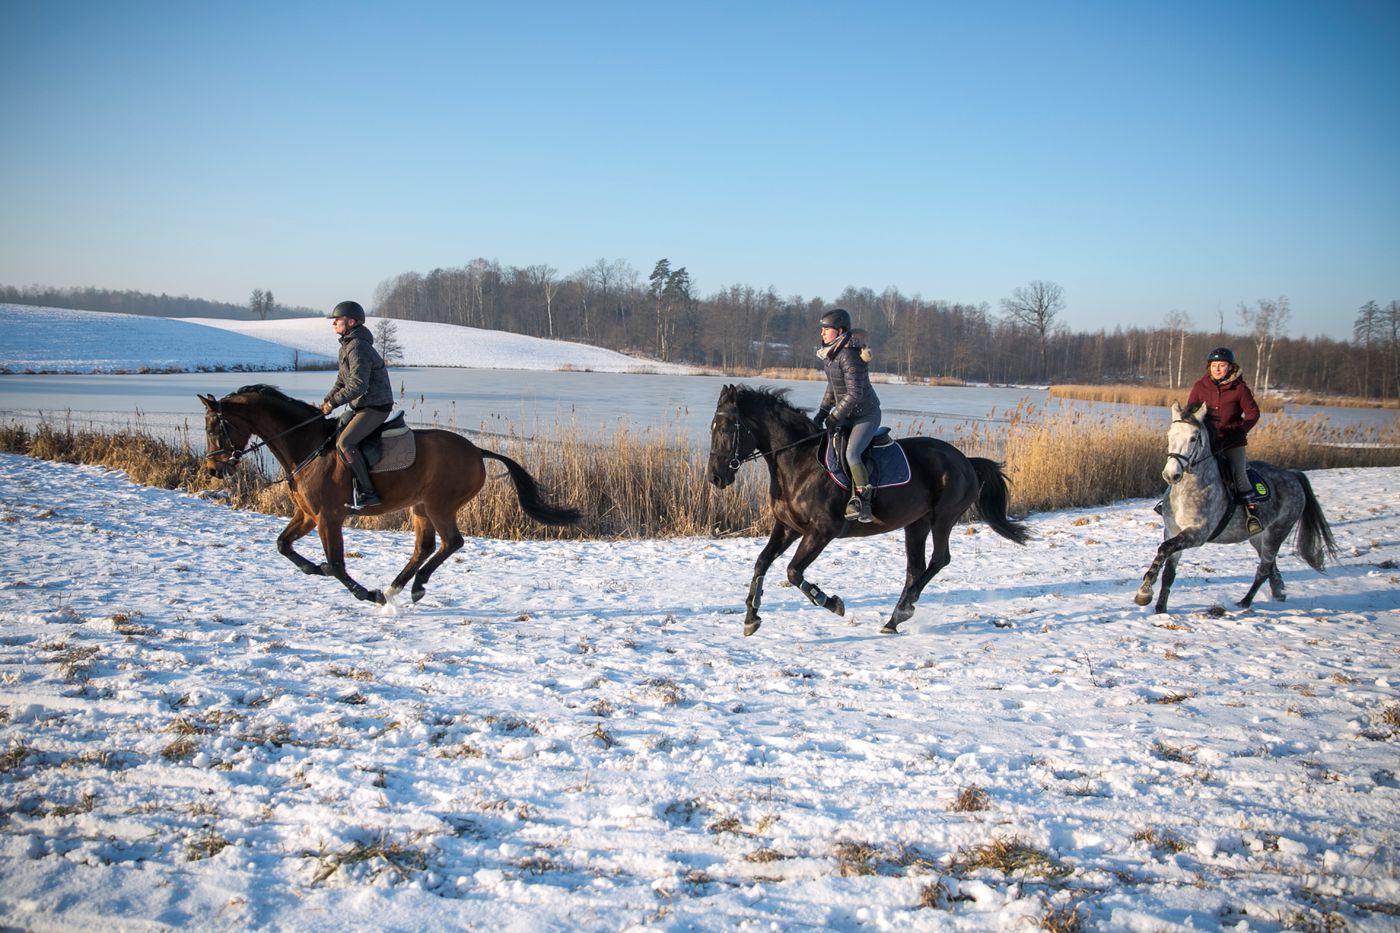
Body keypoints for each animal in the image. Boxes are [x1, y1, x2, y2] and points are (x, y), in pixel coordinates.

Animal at [200, 383, 576, 602]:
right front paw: (314, 569)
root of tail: (476, 450)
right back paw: (399, 586)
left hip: (439, 506)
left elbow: (336, 563)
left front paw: (366, 593)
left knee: (451, 543)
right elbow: (283, 545)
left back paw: (413, 586)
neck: (306, 446)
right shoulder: (307, 514)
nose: (214, 470)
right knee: (425, 547)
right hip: (420, 508)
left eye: (213, 426)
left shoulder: (328, 516)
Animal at [711, 383, 1030, 633]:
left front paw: (831, 603)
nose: (716, 477)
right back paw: (894, 619)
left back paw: (904, 610)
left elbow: (793, 572)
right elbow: (761, 562)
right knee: (915, 567)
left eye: (725, 428)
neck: (798, 462)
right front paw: (751, 617)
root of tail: (966, 460)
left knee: (939, 560)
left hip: (943, 518)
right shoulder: (788, 527)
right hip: (917, 523)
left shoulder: (821, 531)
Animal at [1131, 397, 1338, 610]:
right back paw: (1278, 592)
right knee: (1270, 564)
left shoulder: (1197, 534)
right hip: (1258, 536)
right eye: (1170, 435)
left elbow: (1164, 549)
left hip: (1278, 531)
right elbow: (1169, 572)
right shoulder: (1172, 530)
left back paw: (1245, 601)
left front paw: (1144, 592)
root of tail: (1292, 475)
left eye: (1194, 438)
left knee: (1264, 568)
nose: (1171, 474)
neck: (1188, 490)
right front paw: (1159, 608)